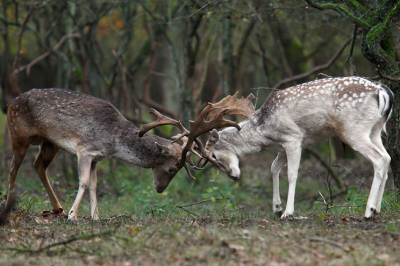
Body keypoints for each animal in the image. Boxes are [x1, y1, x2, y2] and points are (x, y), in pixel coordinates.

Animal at [4, 89, 253, 220]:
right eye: (173, 168)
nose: (160, 189)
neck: (112, 140)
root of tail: (10, 103)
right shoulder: (84, 150)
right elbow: (83, 182)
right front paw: (73, 215)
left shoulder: (97, 157)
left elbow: (94, 185)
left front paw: (95, 217)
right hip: (17, 133)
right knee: (13, 169)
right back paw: (9, 206)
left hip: (49, 143)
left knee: (38, 166)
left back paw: (57, 208)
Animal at [200, 76, 394, 218]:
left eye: (214, 156)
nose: (233, 176)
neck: (264, 133)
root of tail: (382, 91)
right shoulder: (283, 147)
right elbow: (273, 168)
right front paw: (276, 207)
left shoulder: (293, 138)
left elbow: (292, 174)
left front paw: (288, 212)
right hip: (375, 129)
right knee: (387, 157)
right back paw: (377, 209)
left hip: (353, 129)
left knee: (379, 159)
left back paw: (368, 211)